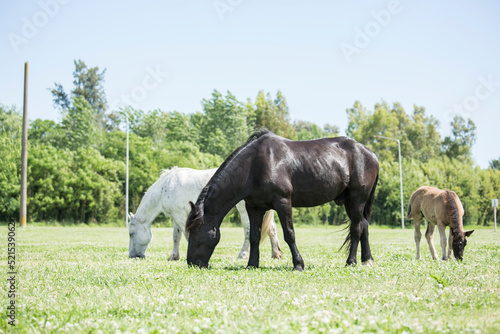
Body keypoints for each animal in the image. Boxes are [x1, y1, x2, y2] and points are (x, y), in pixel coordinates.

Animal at [127, 168, 284, 260]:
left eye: (131, 233)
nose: (133, 256)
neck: (166, 187)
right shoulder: (176, 218)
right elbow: (176, 237)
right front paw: (174, 256)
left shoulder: (181, 216)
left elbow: (186, 235)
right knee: (272, 229)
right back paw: (276, 254)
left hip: (245, 210)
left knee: (248, 231)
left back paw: (243, 254)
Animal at [187, 129, 378, 270]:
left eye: (195, 233)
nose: (191, 264)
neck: (255, 165)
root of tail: (370, 153)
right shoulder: (254, 207)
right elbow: (254, 236)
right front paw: (252, 264)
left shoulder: (283, 202)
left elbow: (289, 234)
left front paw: (298, 264)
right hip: (349, 202)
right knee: (364, 225)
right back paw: (367, 260)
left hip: (357, 199)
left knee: (356, 228)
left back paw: (351, 261)